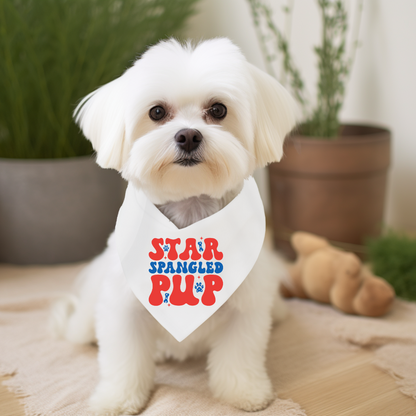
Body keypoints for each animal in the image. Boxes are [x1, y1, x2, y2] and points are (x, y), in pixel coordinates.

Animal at [52, 37, 298, 414]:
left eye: (218, 110)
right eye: (156, 112)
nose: (188, 136)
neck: (190, 214)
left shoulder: (245, 308)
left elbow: (239, 354)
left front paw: (244, 391)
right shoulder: (124, 308)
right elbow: (124, 359)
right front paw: (117, 398)